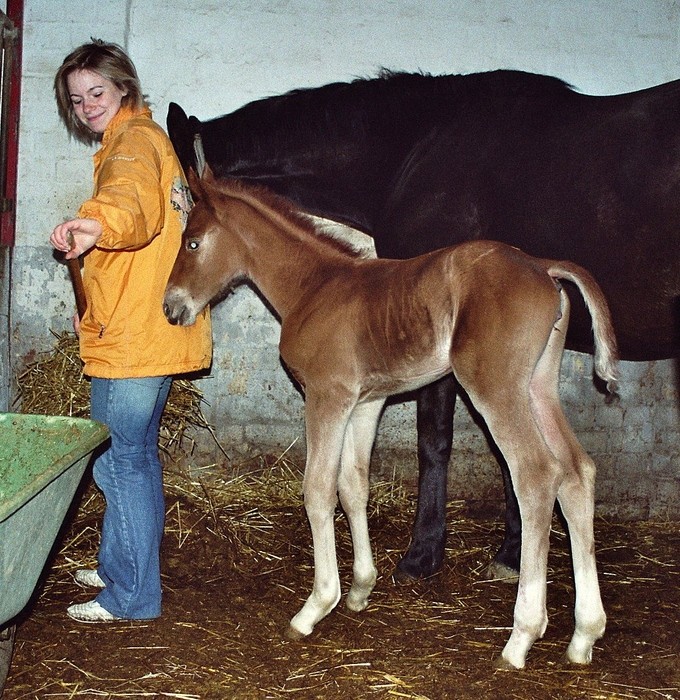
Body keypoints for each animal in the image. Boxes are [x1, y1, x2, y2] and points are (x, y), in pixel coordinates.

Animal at [169, 68, 680, 580]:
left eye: (189, 237)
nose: (170, 306)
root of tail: (544, 268)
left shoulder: (371, 381)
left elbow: (423, 447)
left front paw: (422, 554)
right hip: (534, 383)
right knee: (571, 470)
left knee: (537, 470)